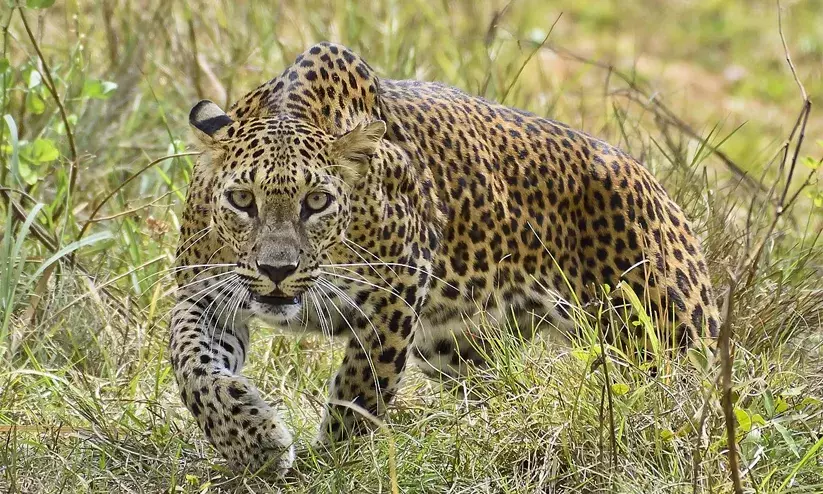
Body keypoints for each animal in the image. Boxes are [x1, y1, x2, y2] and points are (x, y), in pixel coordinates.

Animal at [169, 41, 720, 472]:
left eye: (317, 201)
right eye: (242, 200)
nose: (277, 271)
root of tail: (656, 186)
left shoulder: (395, 294)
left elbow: (360, 390)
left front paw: (328, 463)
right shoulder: (203, 293)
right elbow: (192, 365)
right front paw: (253, 441)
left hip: (666, 335)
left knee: (694, 398)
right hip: (460, 346)